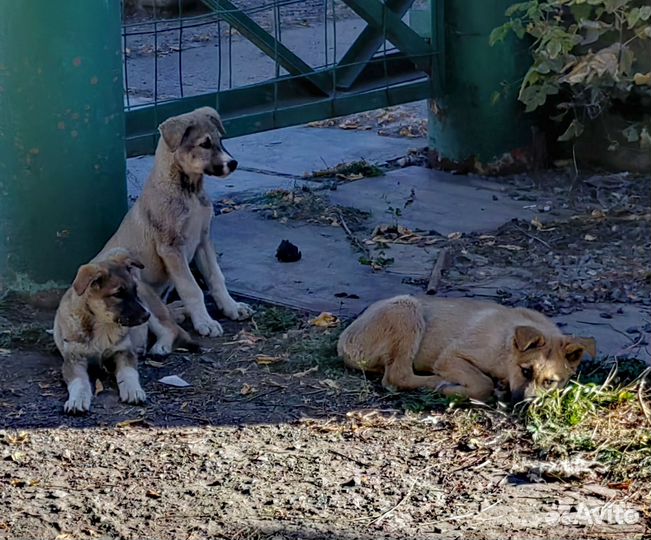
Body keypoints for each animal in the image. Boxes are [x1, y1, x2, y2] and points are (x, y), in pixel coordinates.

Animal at [54, 249, 151, 414]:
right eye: (118, 294)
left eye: (135, 290)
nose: (147, 315)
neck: (103, 325)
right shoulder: (73, 359)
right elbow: (79, 381)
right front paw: (77, 400)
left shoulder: (124, 351)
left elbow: (128, 372)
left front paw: (133, 390)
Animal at [338, 296, 600, 400]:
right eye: (526, 371)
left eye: (550, 382)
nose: (525, 404)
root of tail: (343, 342)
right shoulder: (451, 356)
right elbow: (482, 383)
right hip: (406, 310)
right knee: (397, 376)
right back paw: (438, 383)